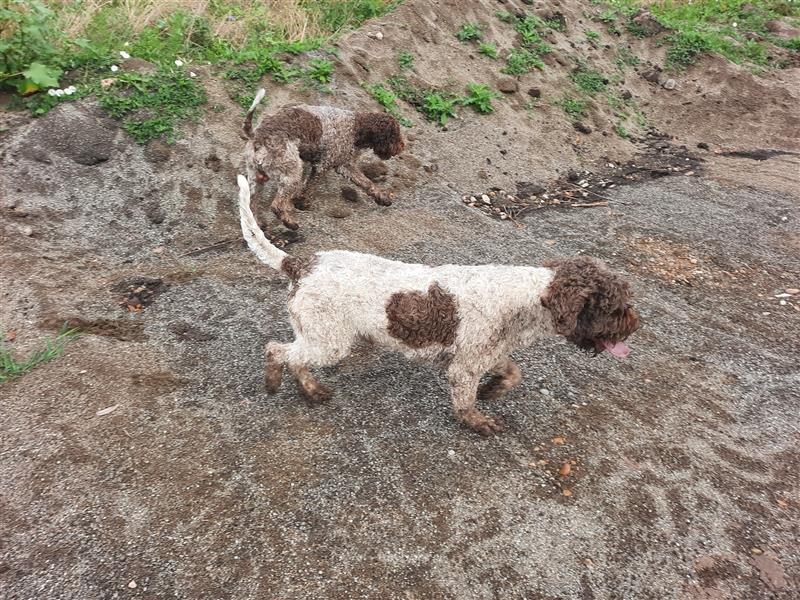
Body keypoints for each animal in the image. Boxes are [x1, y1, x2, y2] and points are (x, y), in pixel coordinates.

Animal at [234, 175, 640, 436]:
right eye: (616, 307)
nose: (635, 325)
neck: (526, 298)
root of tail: (299, 263)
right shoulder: (464, 367)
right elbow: (465, 400)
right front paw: (477, 422)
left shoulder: (484, 352)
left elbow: (513, 373)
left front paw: (494, 390)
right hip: (328, 339)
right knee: (277, 351)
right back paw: (279, 383)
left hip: (318, 335)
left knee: (294, 356)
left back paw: (310, 389)